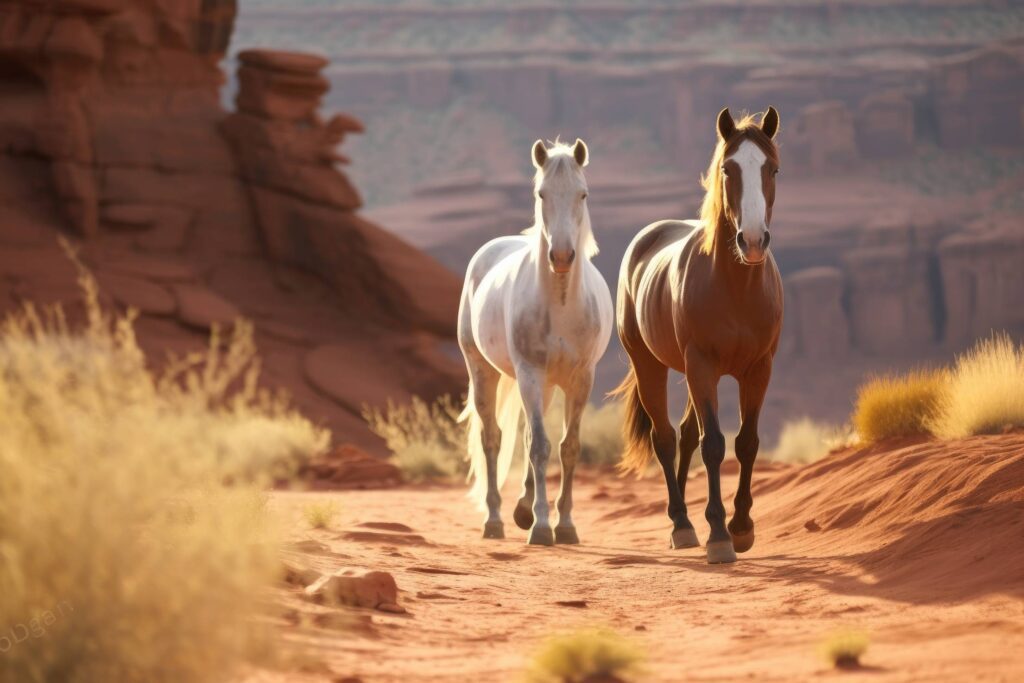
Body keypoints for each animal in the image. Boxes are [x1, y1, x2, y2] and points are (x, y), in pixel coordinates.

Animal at [460, 137, 610, 544]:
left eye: (583, 194)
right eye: (541, 193)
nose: (561, 256)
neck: (561, 305)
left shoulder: (581, 378)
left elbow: (568, 447)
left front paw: (566, 524)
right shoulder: (529, 372)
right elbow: (541, 447)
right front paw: (543, 526)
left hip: (546, 384)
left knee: (527, 435)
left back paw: (522, 509)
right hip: (484, 371)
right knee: (493, 438)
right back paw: (495, 519)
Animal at [614, 107, 782, 565]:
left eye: (773, 169)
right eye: (728, 168)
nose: (753, 240)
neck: (736, 287)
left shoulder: (758, 370)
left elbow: (747, 442)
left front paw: (741, 527)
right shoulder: (702, 366)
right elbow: (714, 446)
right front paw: (719, 535)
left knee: (686, 435)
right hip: (652, 366)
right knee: (666, 438)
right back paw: (682, 524)